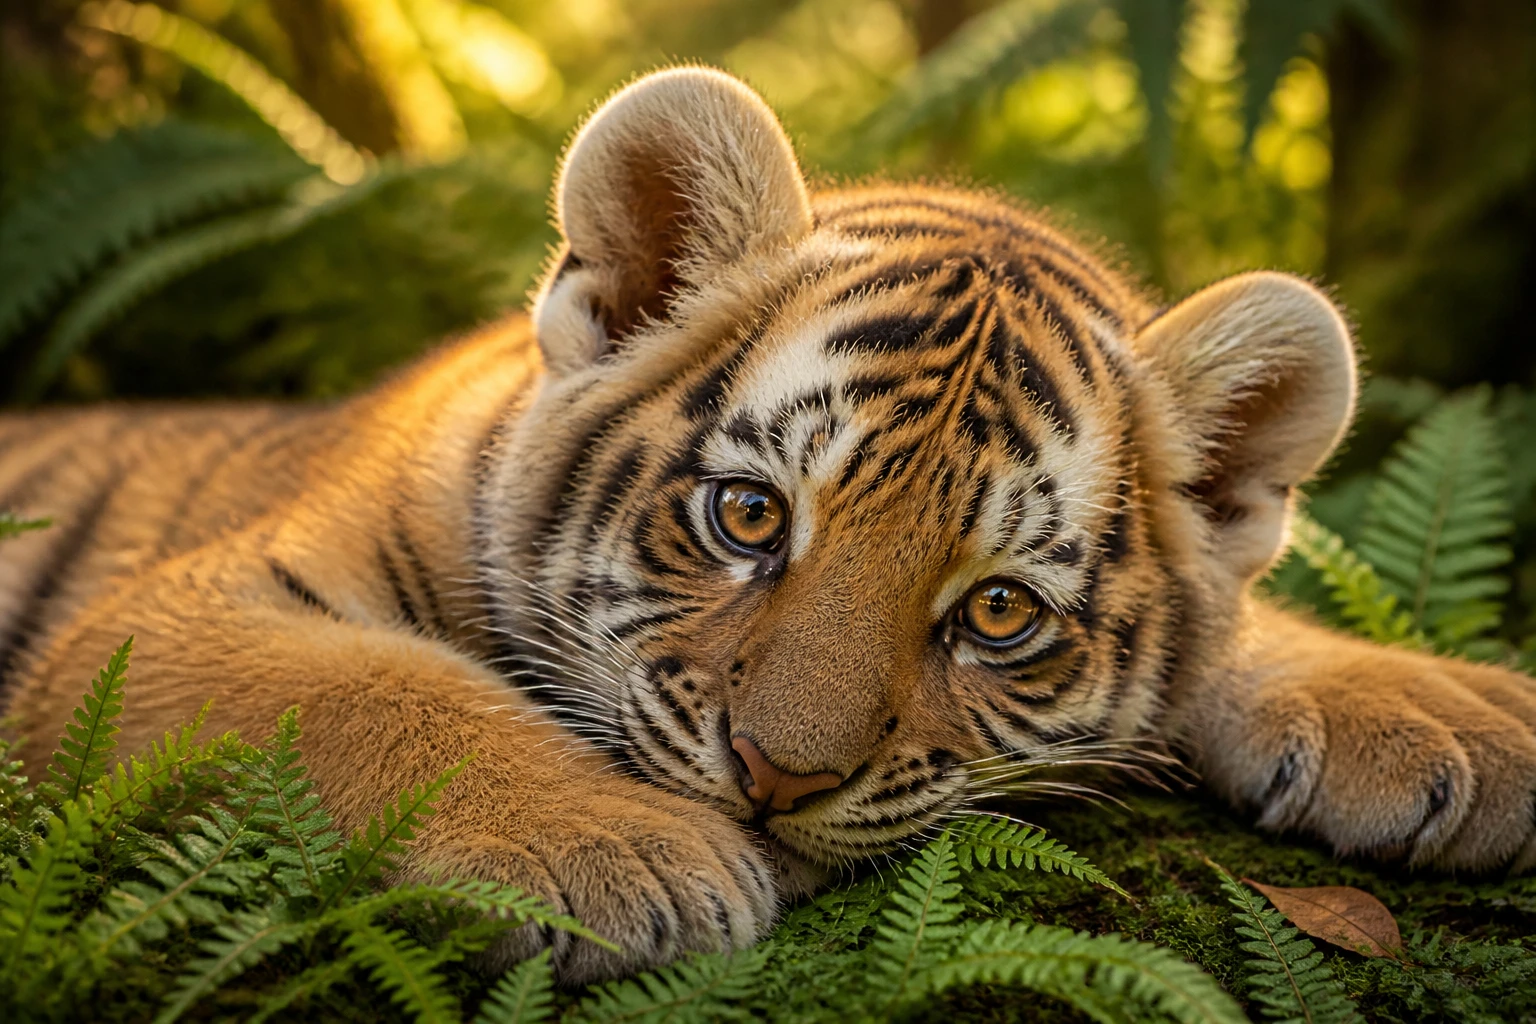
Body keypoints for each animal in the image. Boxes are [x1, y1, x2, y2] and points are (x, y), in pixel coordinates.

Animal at [3, 67, 1535, 984]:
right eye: (748, 516)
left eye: (998, 611)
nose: (776, 777)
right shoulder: (160, 619)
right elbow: (364, 691)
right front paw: (619, 855)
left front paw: (1467, 718)